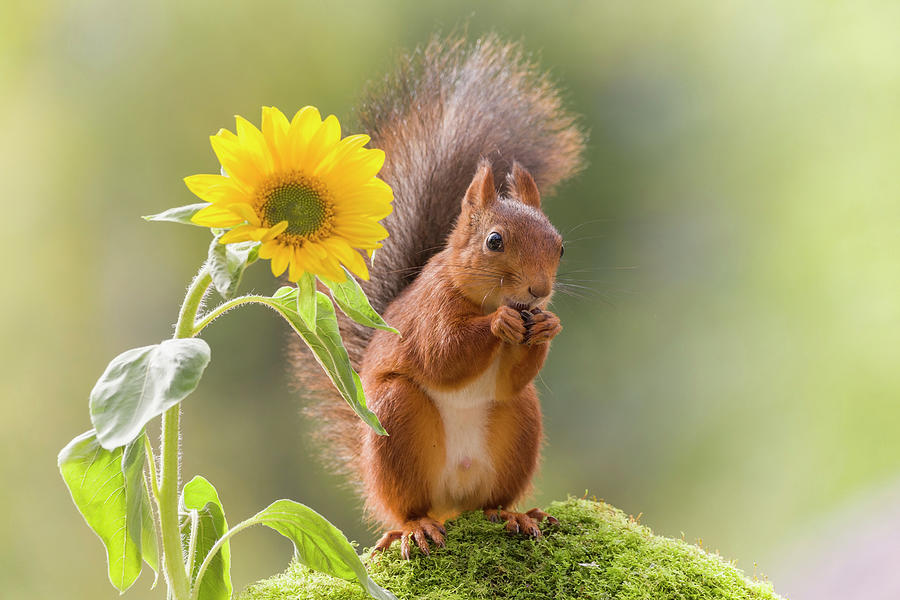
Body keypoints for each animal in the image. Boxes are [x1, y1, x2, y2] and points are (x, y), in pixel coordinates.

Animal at [292, 32, 588, 556]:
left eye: (560, 246)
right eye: (494, 241)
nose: (539, 292)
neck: (483, 298)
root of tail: (453, 500)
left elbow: (512, 376)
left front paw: (548, 325)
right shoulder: (430, 312)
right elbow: (442, 355)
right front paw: (499, 325)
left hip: (521, 422)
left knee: (492, 496)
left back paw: (514, 514)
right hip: (397, 420)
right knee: (406, 507)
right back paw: (415, 528)